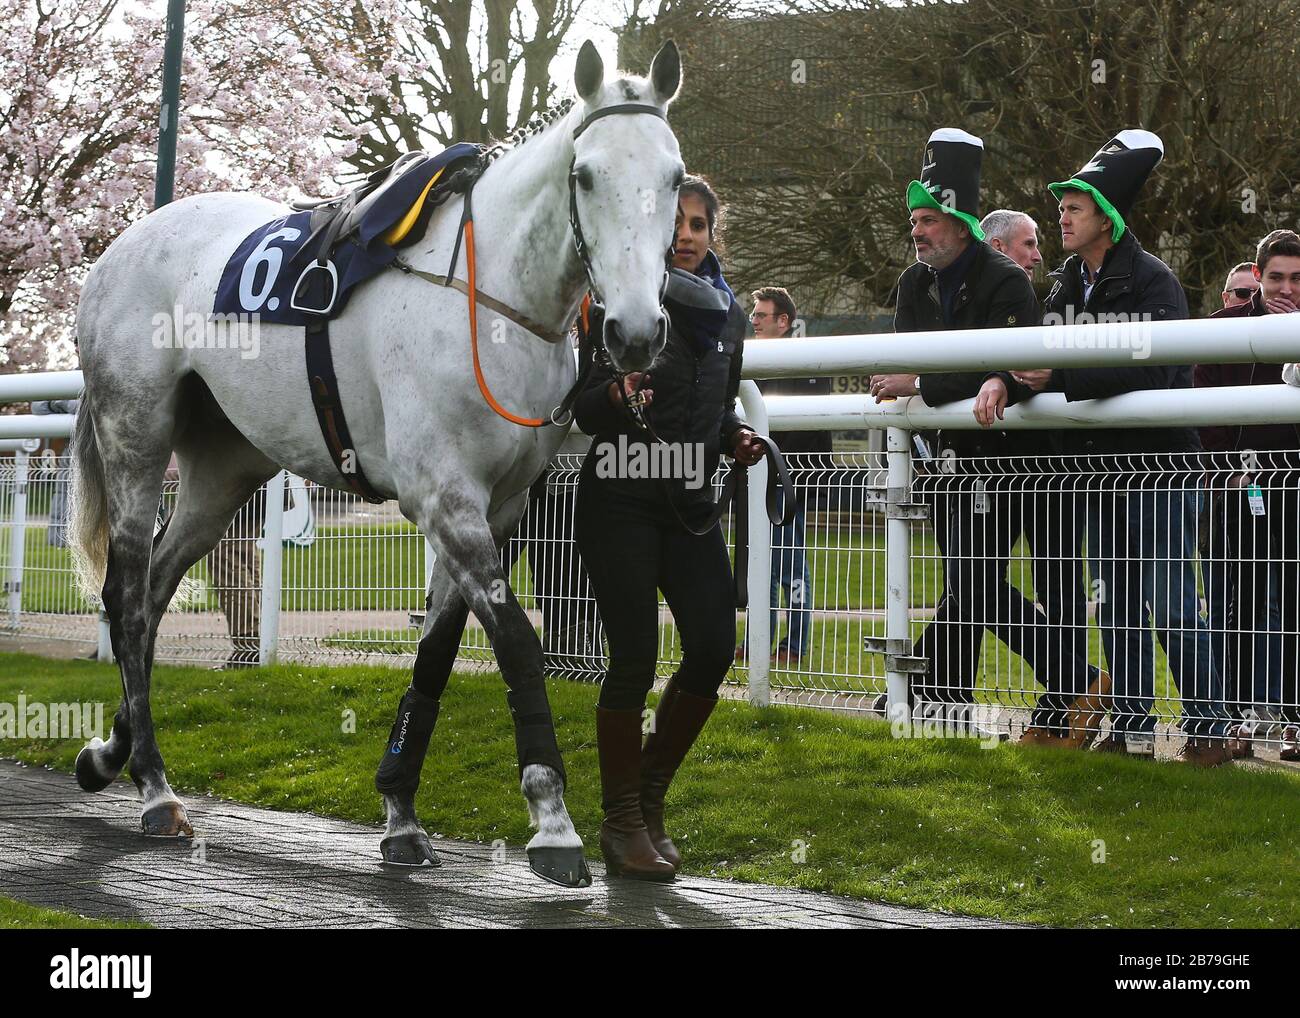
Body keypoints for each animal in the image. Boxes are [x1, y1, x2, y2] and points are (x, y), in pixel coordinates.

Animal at [69, 41, 686, 884]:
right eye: (586, 174)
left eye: (676, 177)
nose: (634, 332)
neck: (485, 296)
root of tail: (119, 249)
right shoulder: (444, 498)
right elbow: (518, 644)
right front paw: (553, 821)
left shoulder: (496, 507)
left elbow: (435, 654)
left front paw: (399, 810)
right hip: (136, 437)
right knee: (128, 598)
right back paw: (155, 787)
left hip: (224, 469)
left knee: (158, 586)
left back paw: (113, 753)